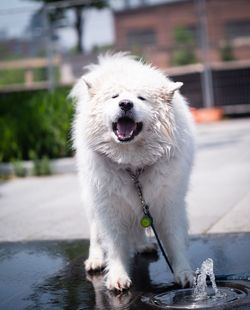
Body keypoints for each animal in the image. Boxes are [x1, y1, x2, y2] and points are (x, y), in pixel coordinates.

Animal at [71, 52, 195, 290]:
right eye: (114, 97)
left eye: (141, 98)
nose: (126, 104)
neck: (133, 166)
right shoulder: (109, 206)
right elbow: (114, 244)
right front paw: (118, 276)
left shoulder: (169, 202)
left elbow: (175, 240)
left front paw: (184, 273)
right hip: (93, 198)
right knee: (95, 230)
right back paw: (95, 259)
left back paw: (142, 245)